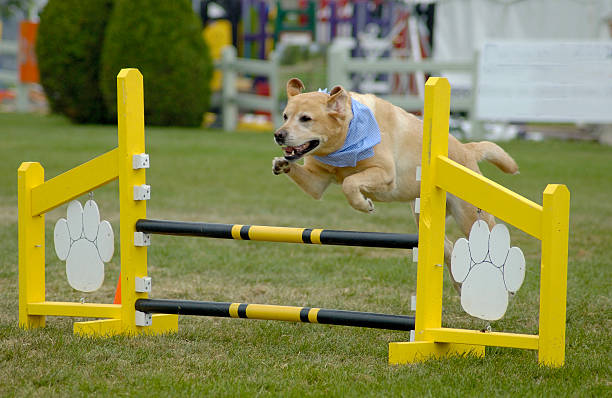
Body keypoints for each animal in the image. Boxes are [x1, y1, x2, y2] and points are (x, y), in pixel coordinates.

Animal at [272, 77, 516, 282]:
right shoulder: (317, 184)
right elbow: (313, 179)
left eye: (306, 119)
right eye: (285, 116)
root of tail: (467, 149)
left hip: (470, 217)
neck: (345, 139)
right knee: (448, 250)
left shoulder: (385, 173)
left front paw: (365, 204)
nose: (278, 135)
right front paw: (281, 163)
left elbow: (349, 183)